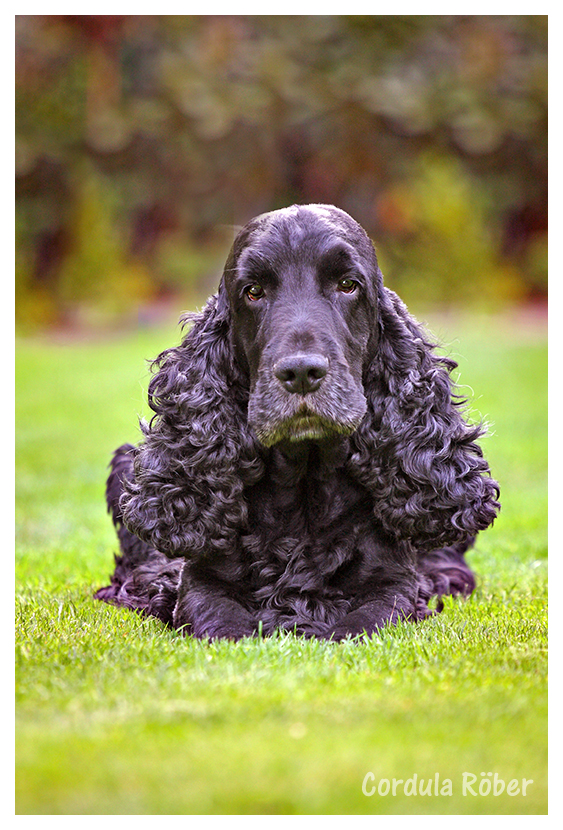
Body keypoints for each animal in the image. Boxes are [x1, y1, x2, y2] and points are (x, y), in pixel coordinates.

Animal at [94, 203, 500, 644]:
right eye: (253, 291)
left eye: (348, 285)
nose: (302, 372)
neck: (304, 486)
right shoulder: (202, 582)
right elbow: (220, 625)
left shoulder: (393, 583)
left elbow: (364, 624)